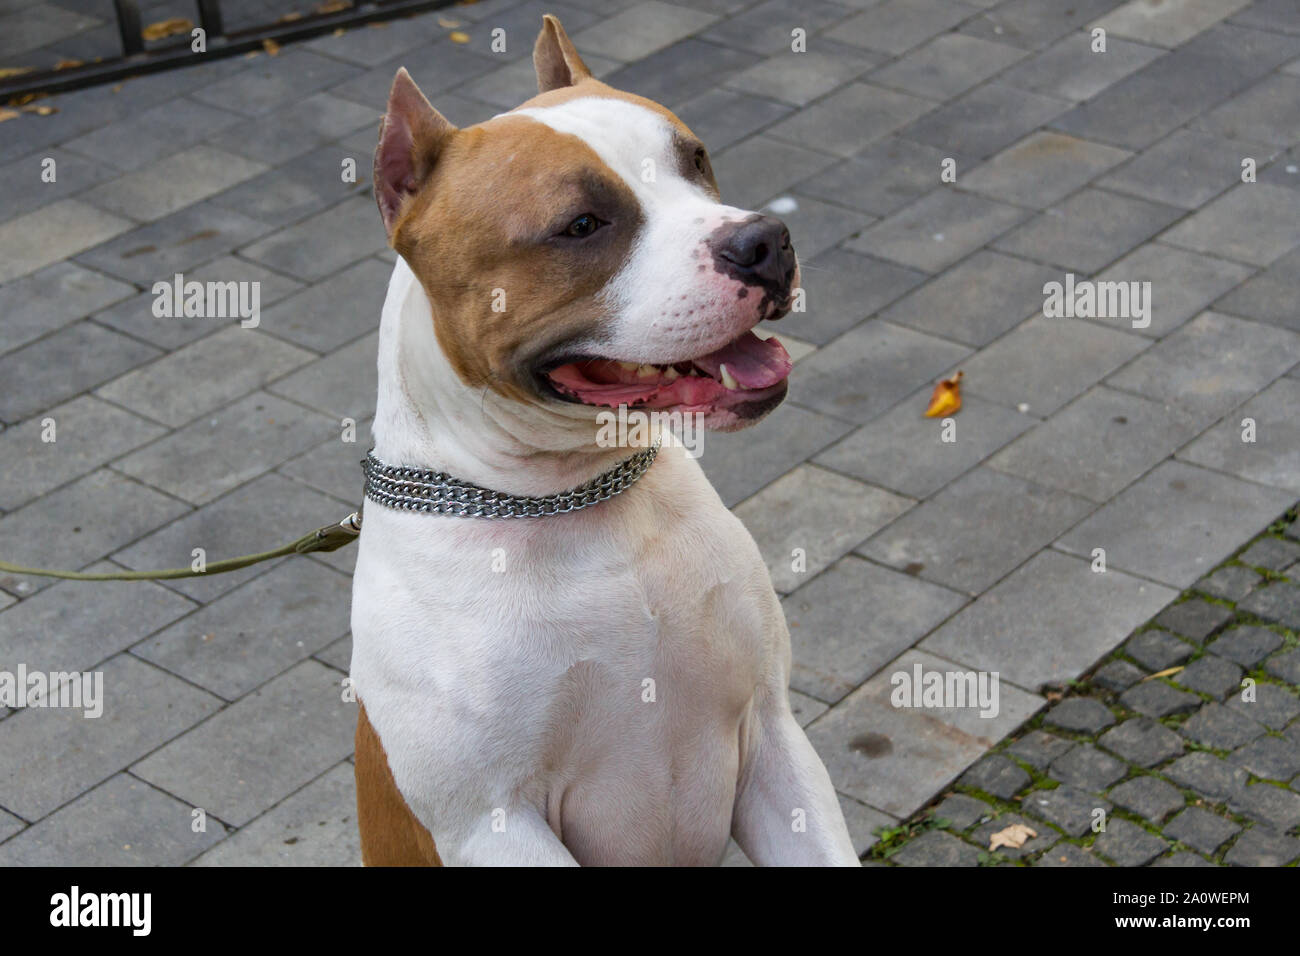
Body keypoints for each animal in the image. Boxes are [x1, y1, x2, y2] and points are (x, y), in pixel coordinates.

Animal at [351, 14, 857, 868]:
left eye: (697, 159)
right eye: (581, 226)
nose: (764, 241)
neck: (576, 498)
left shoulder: (773, 736)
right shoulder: (494, 823)